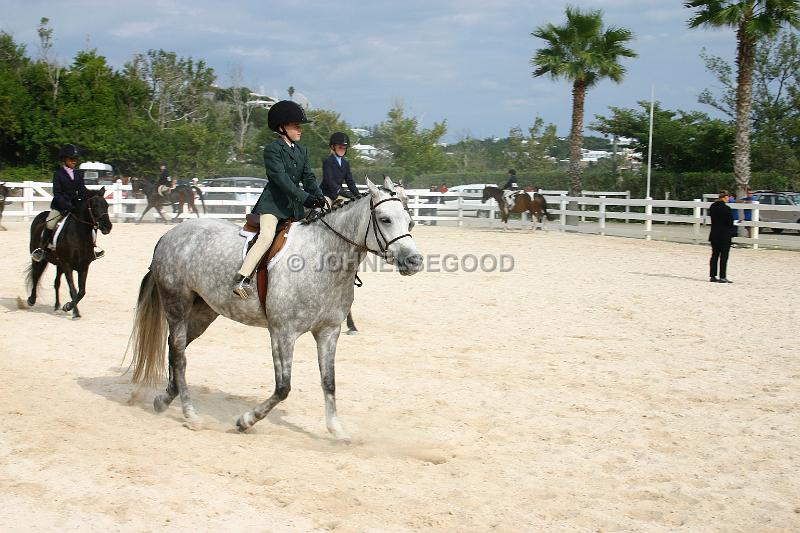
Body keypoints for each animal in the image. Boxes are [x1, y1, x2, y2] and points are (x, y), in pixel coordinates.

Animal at [24, 189, 111, 318]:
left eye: (107, 205)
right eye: (95, 206)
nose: (107, 226)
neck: (79, 235)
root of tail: (39, 216)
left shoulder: (83, 267)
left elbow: (82, 291)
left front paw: (67, 306)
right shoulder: (67, 265)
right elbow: (73, 289)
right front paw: (75, 312)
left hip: (59, 264)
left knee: (56, 283)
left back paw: (57, 306)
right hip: (40, 259)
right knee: (36, 276)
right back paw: (31, 299)